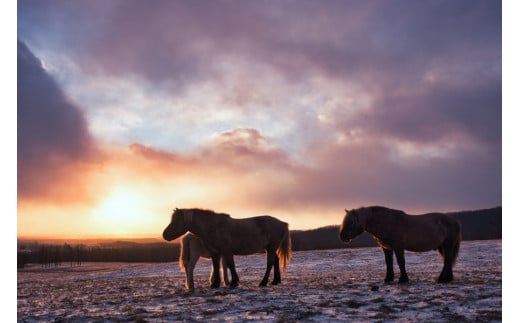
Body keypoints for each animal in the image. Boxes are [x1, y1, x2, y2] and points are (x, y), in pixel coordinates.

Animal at [162, 210, 290, 288]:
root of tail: (282, 223)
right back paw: (275, 281)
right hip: (270, 248)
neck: (214, 227)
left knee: (270, 263)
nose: (164, 235)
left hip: (271, 248)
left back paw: (263, 282)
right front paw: (216, 284)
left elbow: (230, 266)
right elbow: (217, 266)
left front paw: (233, 282)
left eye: (176, 221)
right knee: (276, 261)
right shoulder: (216, 253)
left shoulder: (226, 251)